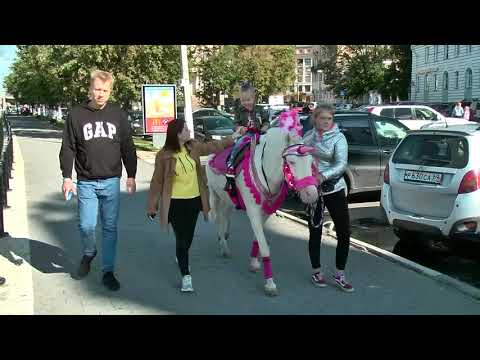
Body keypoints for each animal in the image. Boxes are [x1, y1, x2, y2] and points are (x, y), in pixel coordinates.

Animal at [205, 112, 318, 296]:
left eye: (310, 162)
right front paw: (270, 284)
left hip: (227, 200)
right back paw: (223, 246)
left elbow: (258, 240)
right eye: (292, 162)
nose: (311, 194)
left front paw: (253, 263)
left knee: (225, 218)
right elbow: (265, 246)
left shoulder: (266, 212)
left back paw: (224, 244)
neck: (267, 169)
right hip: (216, 195)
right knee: (219, 219)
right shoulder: (252, 211)